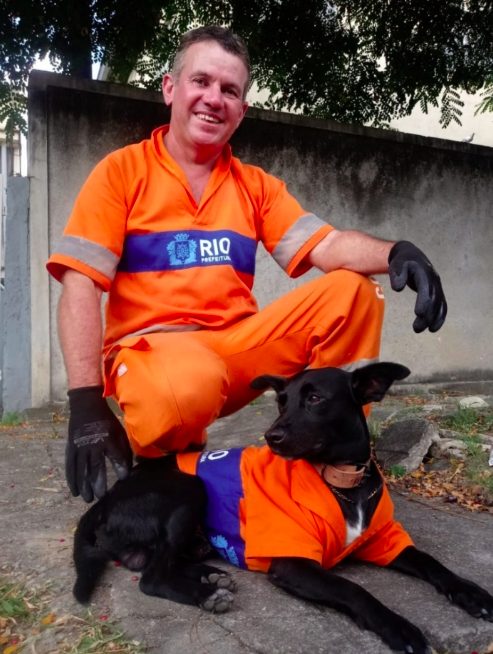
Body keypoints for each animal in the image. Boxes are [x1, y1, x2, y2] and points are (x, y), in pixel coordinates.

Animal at [73, 364, 492, 654]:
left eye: (315, 398)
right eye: (280, 401)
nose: (271, 437)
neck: (341, 482)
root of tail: (107, 497)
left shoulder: (385, 541)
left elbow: (432, 563)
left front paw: (471, 593)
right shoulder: (293, 564)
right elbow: (353, 589)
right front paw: (398, 627)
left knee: (159, 561)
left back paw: (210, 576)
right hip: (189, 488)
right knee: (151, 577)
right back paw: (205, 593)